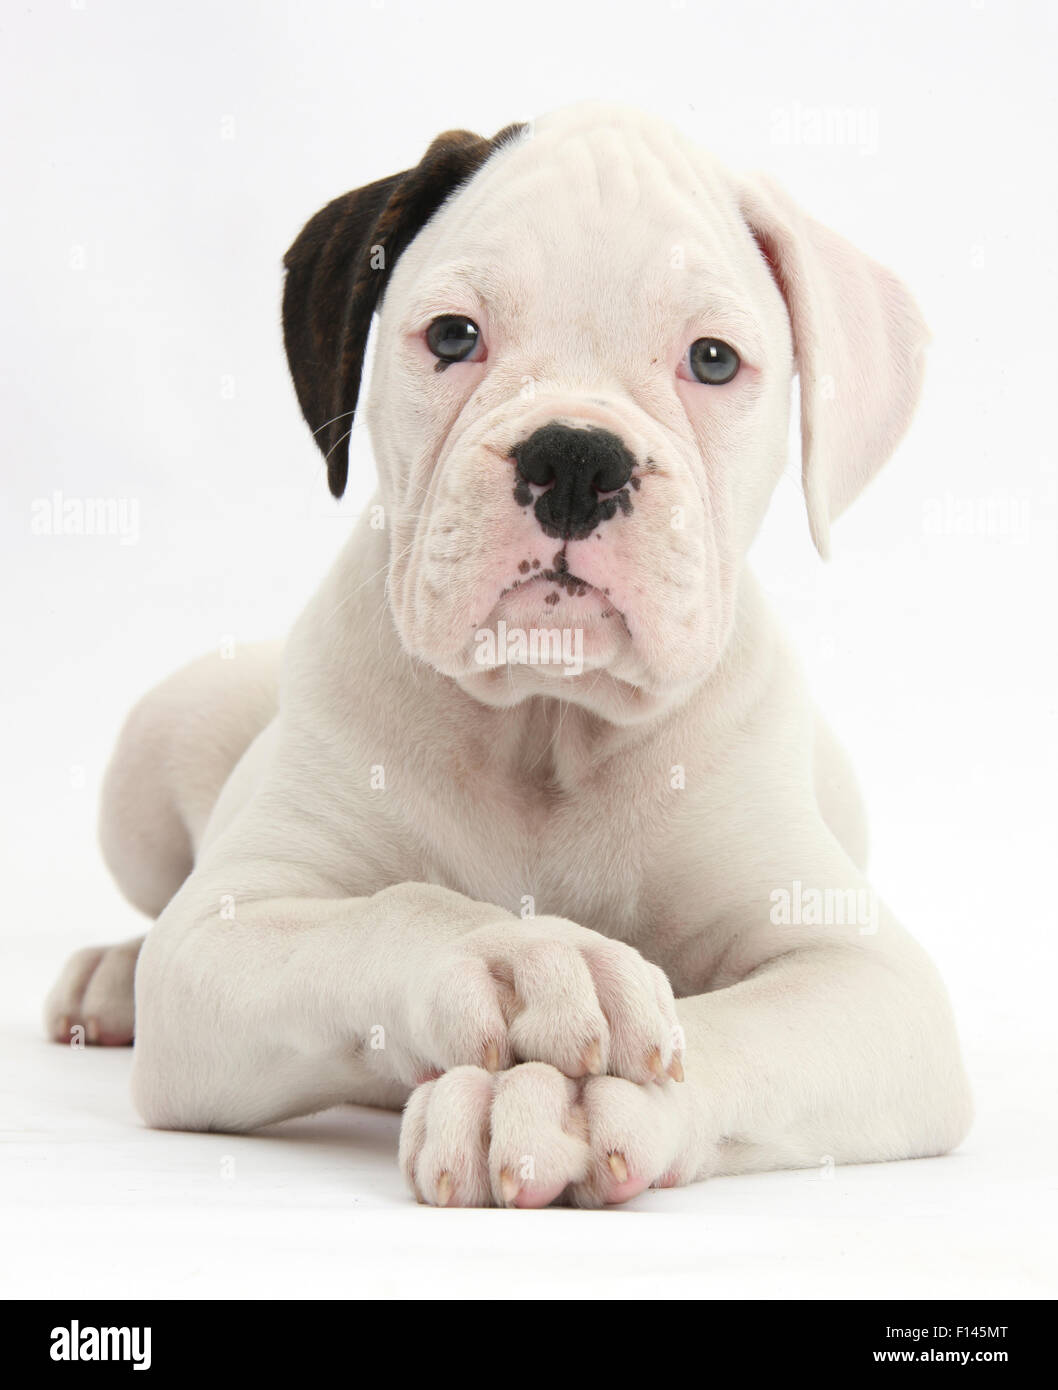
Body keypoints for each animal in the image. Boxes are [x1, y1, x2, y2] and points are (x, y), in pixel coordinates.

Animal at [51, 105, 973, 1206]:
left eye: (711, 360)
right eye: (454, 336)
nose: (575, 458)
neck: (546, 717)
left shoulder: (867, 979)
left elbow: (725, 1035)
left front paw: (572, 1102)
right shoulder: (223, 938)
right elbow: (389, 911)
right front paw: (518, 957)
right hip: (154, 753)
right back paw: (111, 975)